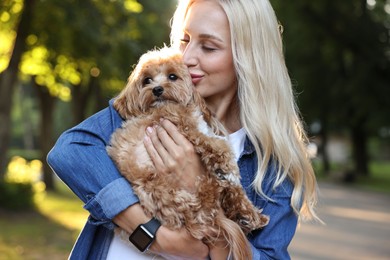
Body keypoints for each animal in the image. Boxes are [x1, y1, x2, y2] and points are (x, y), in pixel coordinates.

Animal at [108, 47, 270, 260]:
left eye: (172, 76)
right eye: (147, 80)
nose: (157, 89)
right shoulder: (184, 126)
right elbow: (217, 144)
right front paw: (227, 165)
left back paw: (250, 215)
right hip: (182, 193)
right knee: (214, 194)